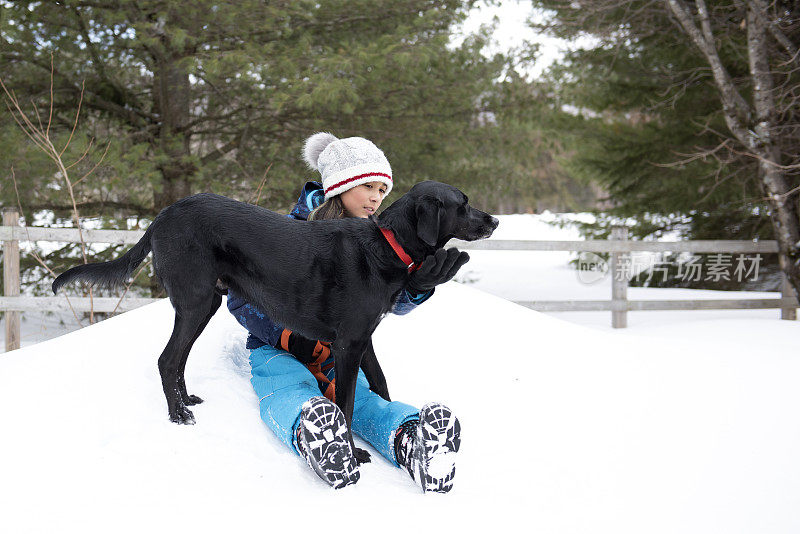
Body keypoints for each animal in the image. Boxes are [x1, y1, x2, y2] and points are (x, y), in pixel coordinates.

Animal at [51, 182, 494, 462]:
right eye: (462, 203)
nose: (495, 221)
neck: (386, 245)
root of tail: (162, 217)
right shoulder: (349, 344)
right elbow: (347, 405)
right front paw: (354, 454)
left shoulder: (363, 340)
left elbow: (380, 386)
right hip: (196, 300)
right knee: (166, 359)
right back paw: (178, 415)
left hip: (207, 302)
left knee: (177, 360)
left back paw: (186, 400)